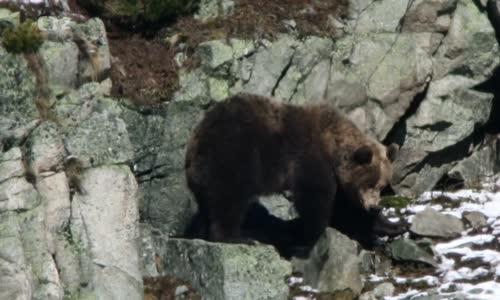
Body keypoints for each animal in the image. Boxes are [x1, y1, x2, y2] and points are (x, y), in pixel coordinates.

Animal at [184, 93, 406, 253]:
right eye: (369, 183)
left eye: (382, 186)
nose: (374, 206)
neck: (332, 145)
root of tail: (197, 137)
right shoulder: (310, 160)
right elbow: (316, 199)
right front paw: (311, 235)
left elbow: (347, 208)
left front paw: (393, 225)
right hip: (233, 155)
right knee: (229, 198)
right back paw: (237, 237)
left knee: (208, 204)